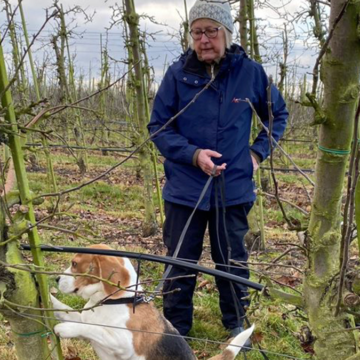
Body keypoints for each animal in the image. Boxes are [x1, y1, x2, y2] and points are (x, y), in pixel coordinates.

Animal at [50, 243, 255, 358]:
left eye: (75, 264)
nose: (56, 279)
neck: (114, 301)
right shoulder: (82, 317)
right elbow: (65, 310)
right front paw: (48, 297)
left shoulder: (123, 343)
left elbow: (94, 329)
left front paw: (65, 329)